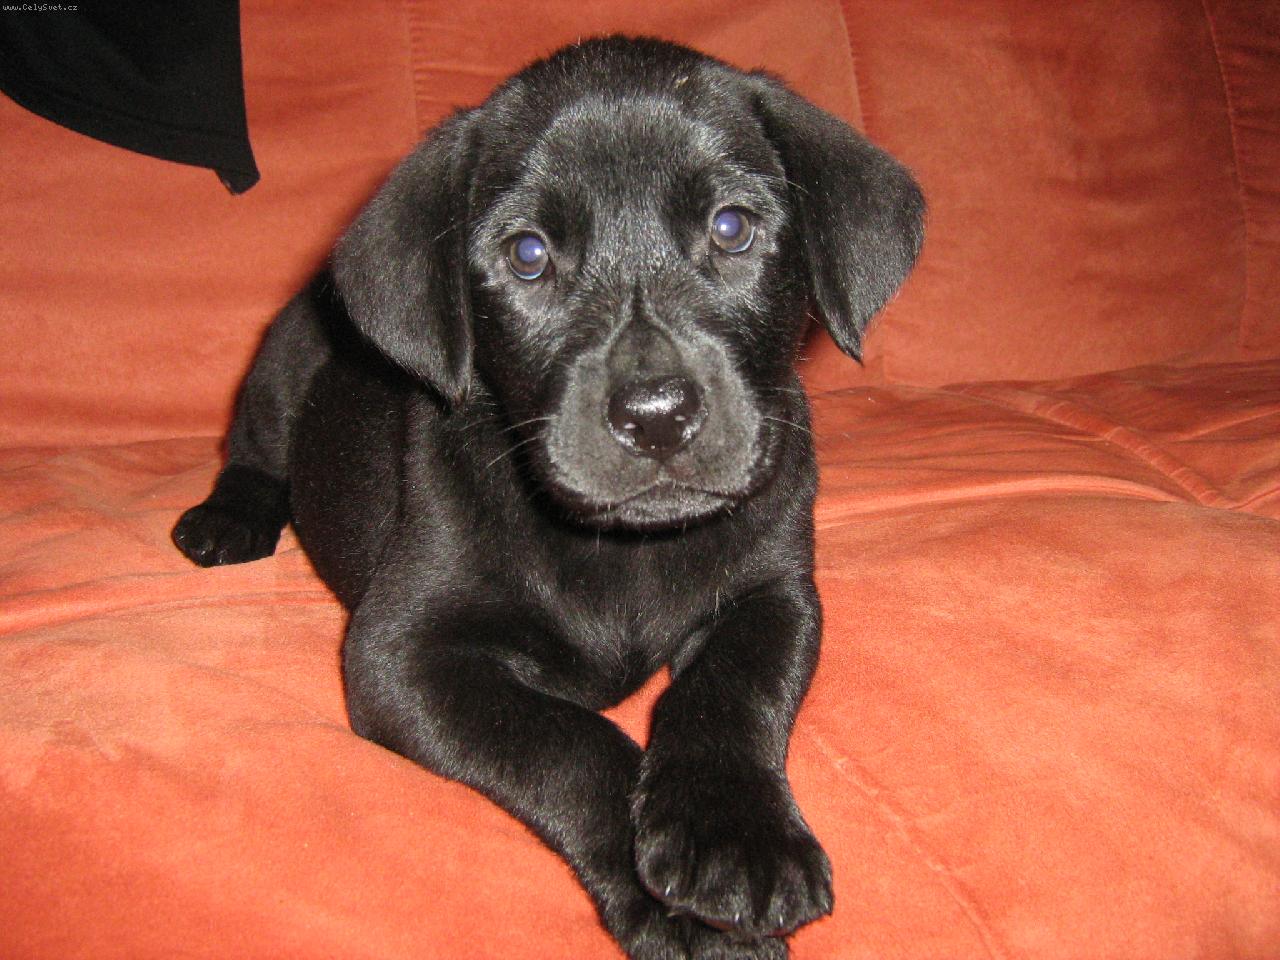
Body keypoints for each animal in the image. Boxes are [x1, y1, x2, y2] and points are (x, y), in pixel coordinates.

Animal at [173, 36, 923, 959]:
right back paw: (226, 521)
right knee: (251, 451)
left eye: (732, 228)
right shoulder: (401, 654)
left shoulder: (775, 594)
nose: (655, 415)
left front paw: (733, 837)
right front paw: (671, 904)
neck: (625, 548)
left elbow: (731, 691)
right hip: (283, 363)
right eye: (528, 254)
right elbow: (568, 744)